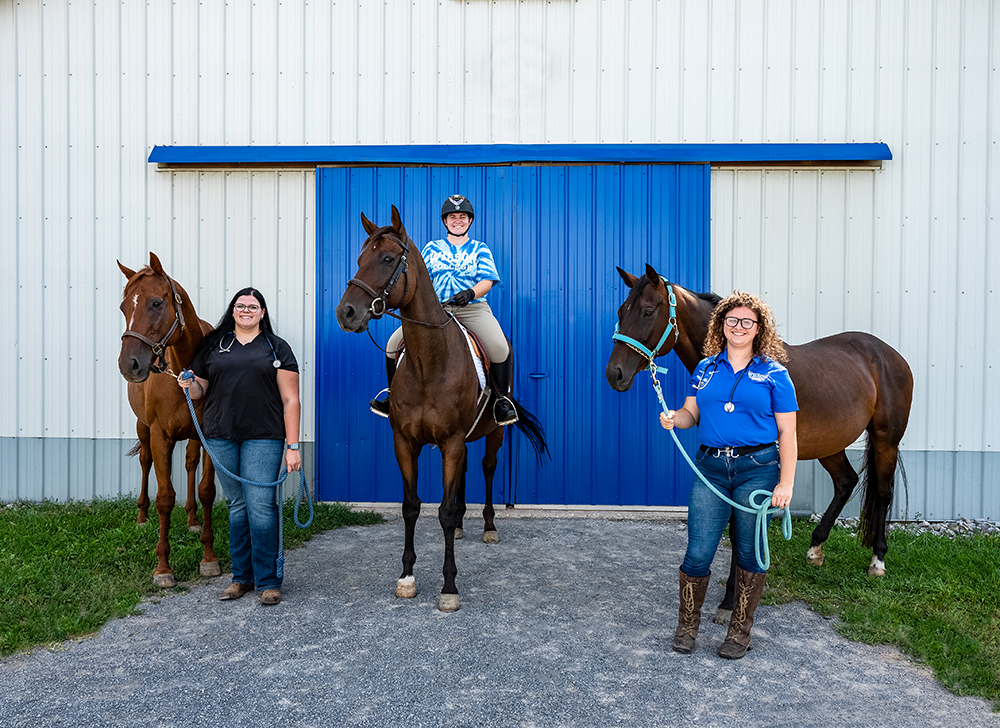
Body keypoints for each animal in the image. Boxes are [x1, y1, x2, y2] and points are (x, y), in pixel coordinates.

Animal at [117, 253, 221, 588]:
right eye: (123, 307)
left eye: (155, 303)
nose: (129, 365)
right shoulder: (160, 435)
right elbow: (164, 498)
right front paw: (162, 568)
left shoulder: (208, 436)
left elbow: (206, 490)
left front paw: (208, 557)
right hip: (143, 428)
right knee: (145, 462)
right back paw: (141, 517)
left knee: (189, 464)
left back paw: (191, 519)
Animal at [334, 208, 548, 612]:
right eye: (359, 259)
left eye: (388, 260)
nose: (347, 313)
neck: (429, 362)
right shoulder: (405, 443)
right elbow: (411, 506)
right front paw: (406, 578)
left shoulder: (451, 442)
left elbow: (444, 512)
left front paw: (449, 588)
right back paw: (464, 526)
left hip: (493, 434)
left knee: (487, 468)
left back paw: (488, 527)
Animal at [600, 268, 916, 620]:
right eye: (621, 312)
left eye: (647, 312)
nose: (614, 374)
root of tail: (887, 354)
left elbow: (743, 530)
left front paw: (732, 598)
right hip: (830, 444)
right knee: (846, 482)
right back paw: (815, 549)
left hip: (886, 439)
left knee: (884, 493)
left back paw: (878, 561)